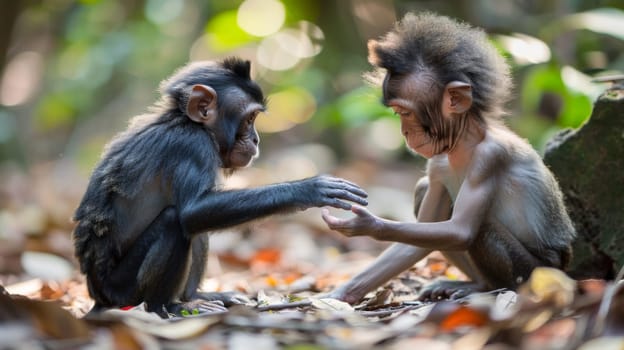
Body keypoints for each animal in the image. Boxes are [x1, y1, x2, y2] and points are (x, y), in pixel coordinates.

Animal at [73, 58, 368, 318]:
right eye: (249, 119)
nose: (256, 139)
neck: (188, 121)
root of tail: (97, 295)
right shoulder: (191, 145)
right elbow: (193, 211)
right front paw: (309, 189)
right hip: (122, 290)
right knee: (174, 221)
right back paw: (166, 307)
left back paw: (196, 297)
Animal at [322, 13, 576, 302]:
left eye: (404, 112)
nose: (404, 132)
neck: (464, 143)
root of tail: (564, 265)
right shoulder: (436, 163)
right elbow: (418, 241)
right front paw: (341, 293)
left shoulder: (490, 157)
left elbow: (461, 231)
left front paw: (368, 224)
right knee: (424, 194)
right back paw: (477, 285)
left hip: (538, 270)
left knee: (482, 229)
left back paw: (504, 290)